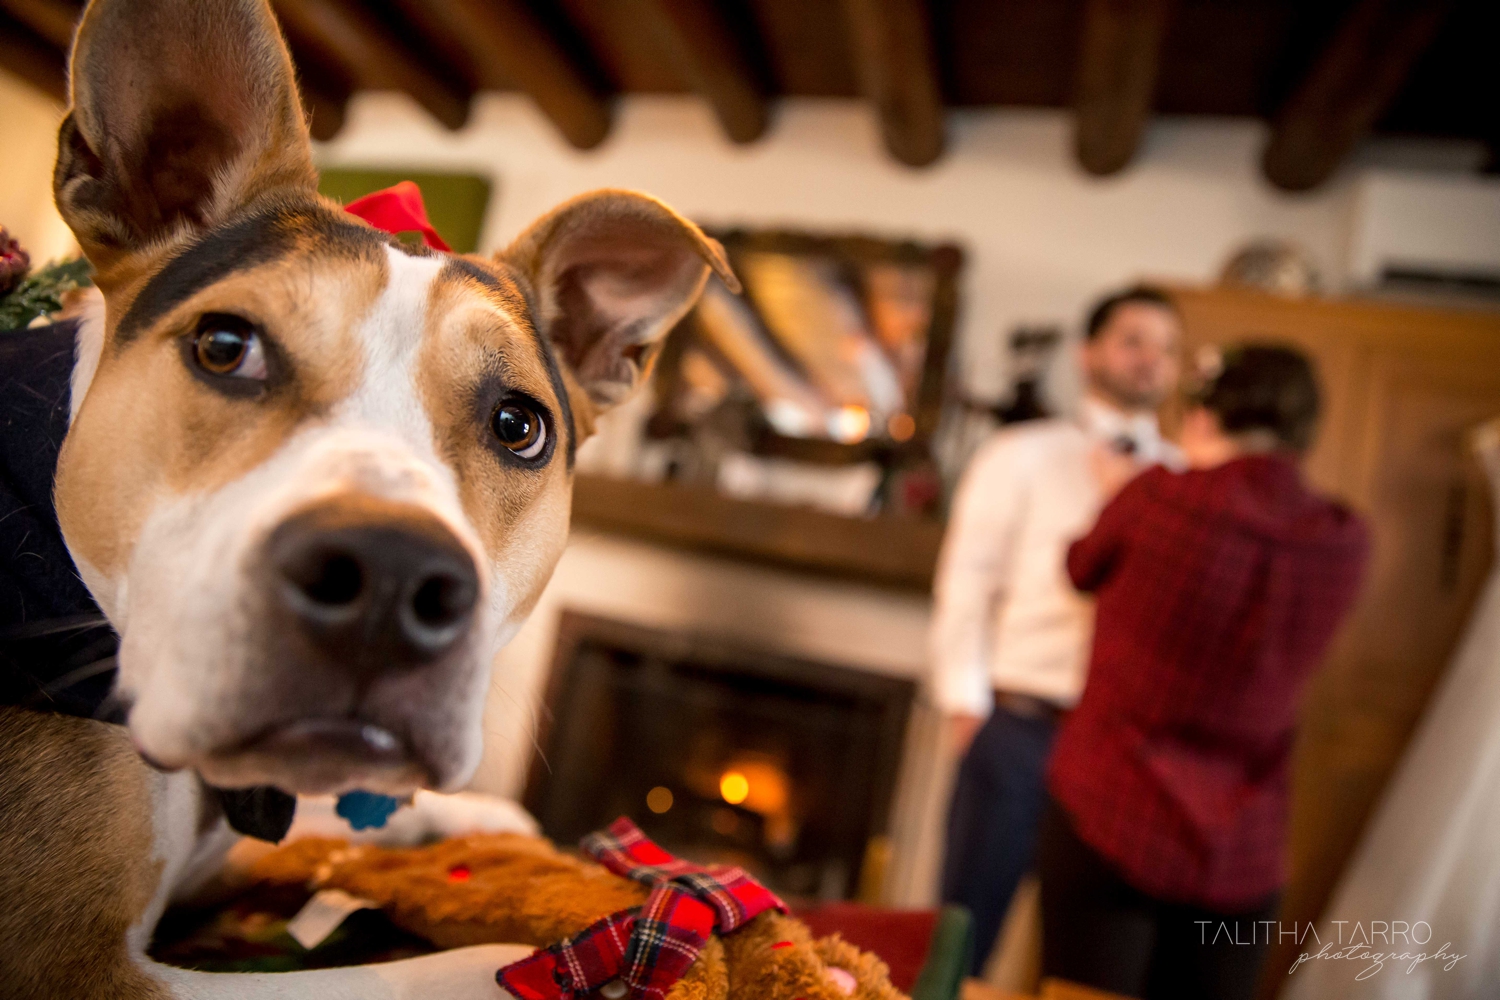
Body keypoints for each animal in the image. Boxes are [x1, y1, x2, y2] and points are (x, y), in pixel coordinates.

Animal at [0, 0, 738, 995]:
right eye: (225, 346)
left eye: (519, 424)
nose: (388, 579)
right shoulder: (81, 967)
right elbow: (405, 976)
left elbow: (328, 819)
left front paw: (481, 818)